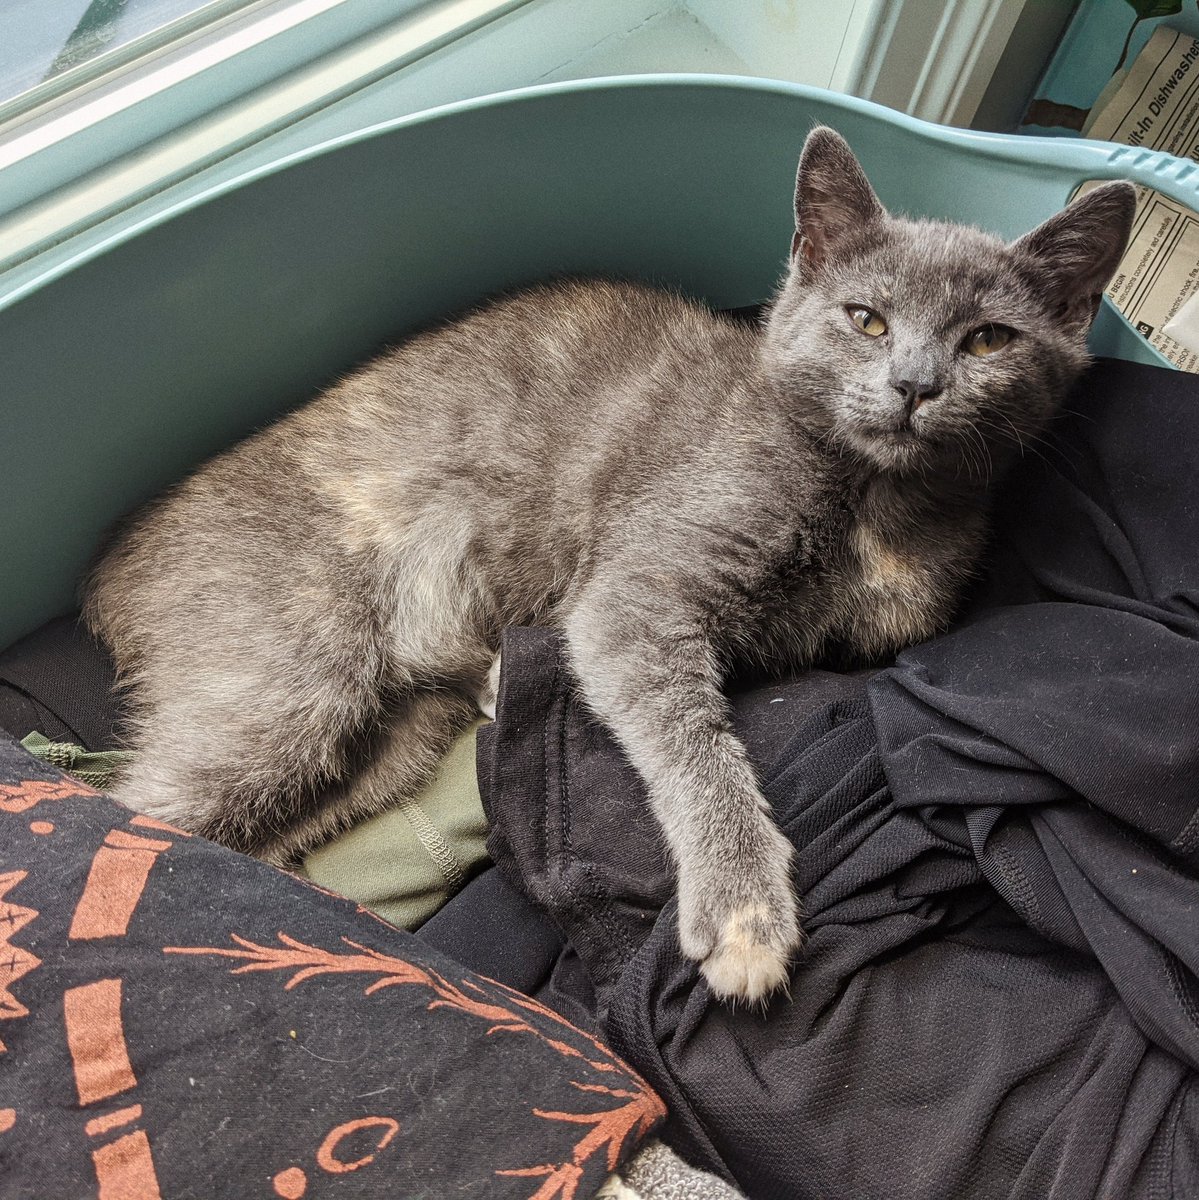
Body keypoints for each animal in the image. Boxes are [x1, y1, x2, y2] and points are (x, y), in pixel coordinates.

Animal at [84, 126, 1132, 1003]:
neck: (875, 498)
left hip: (390, 741)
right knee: (135, 805)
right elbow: (696, 743)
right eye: (866, 320)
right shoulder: (636, 596)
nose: (916, 384)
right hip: (289, 680)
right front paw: (744, 912)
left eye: (988, 338)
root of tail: (113, 562)